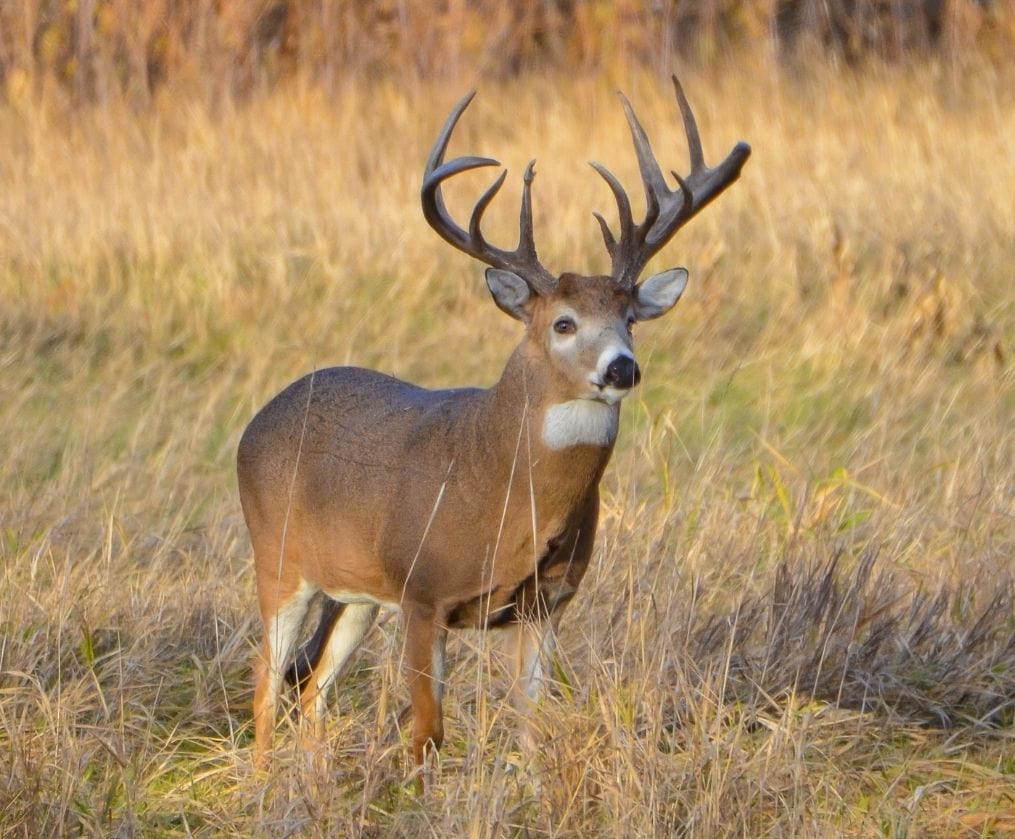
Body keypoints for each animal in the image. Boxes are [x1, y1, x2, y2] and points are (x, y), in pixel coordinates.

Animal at [237, 75, 750, 779]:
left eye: (630, 319)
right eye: (563, 322)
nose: (622, 367)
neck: (504, 485)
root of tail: (258, 419)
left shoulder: (545, 604)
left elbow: (532, 725)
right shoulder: (423, 591)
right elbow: (428, 731)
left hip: (355, 594)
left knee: (311, 692)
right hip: (279, 557)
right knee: (265, 684)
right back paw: (263, 783)